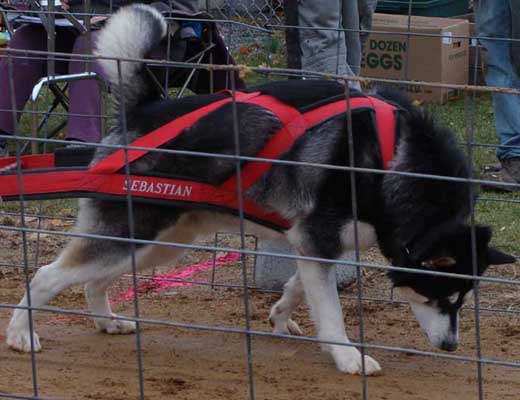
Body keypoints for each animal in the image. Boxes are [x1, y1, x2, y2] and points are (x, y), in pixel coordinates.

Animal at [5, 5, 516, 376]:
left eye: (463, 300)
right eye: (441, 297)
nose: (450, 345)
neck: (392, 160)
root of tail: (147, 110)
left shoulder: (313, 246)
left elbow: (298, 288)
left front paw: (280, 316)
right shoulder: (317, 240)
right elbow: (331, 313)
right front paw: (347, 357)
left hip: (160, 242)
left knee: (94, 280)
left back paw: (107, 320)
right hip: (131, 232)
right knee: (46, 275)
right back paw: (19, 335)